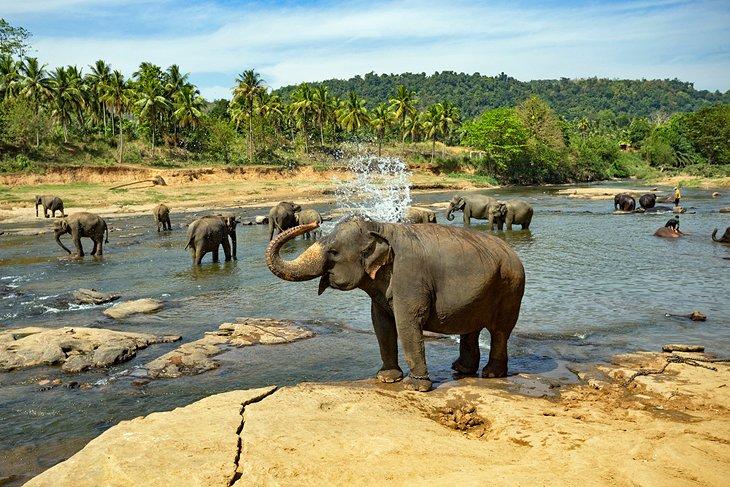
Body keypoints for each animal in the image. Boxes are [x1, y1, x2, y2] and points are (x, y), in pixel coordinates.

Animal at [265, 218, 526, 392]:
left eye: (334, 252)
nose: (314, 222)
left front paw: (415, 387)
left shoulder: (410, 277)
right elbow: (381, 323)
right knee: (471, 328)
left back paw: (491, 374)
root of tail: (512, 252)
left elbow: (407, 322)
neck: (380, 227)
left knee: (500, 330)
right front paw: (387, 379)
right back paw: (462, 370)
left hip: (511, 288)